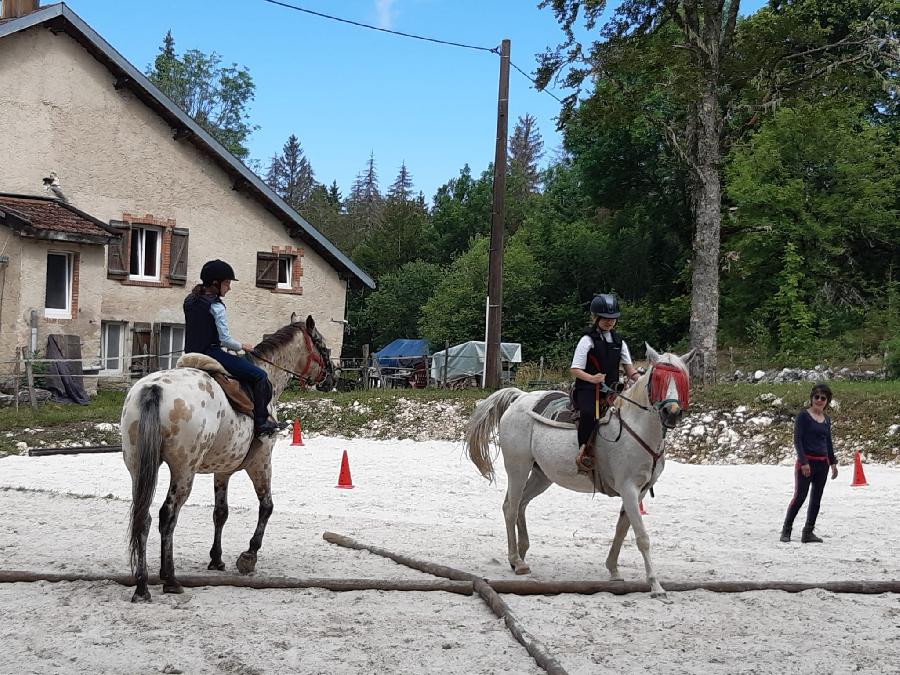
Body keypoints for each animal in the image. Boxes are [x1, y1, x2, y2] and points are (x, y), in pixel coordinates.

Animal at [118, 314, 330, 604]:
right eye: (323, 346)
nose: (332, 376)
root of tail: (153, 388)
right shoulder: (261, 462)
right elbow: (267, 506)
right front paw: (249, 556)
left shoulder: (223, 470)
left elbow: (220, 513)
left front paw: (216, 559)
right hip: (184, 471)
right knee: (167, 516)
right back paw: (169, 579)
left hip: (138, 467)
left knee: (144, 517)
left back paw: (142, 585)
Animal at [468, 346, 692, 600]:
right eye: (657, 379)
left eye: (682, 380)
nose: (672, 412)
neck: (636, 427)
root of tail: (520, 397)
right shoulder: (629, 489)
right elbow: (641, 537)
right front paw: (655, 585)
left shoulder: (640, 492)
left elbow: (622, 529)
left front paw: (613, 570)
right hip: (518, 468)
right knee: (510, 507)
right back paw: (516, 560)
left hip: (542, 475)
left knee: (522, 504)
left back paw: (521, 553)